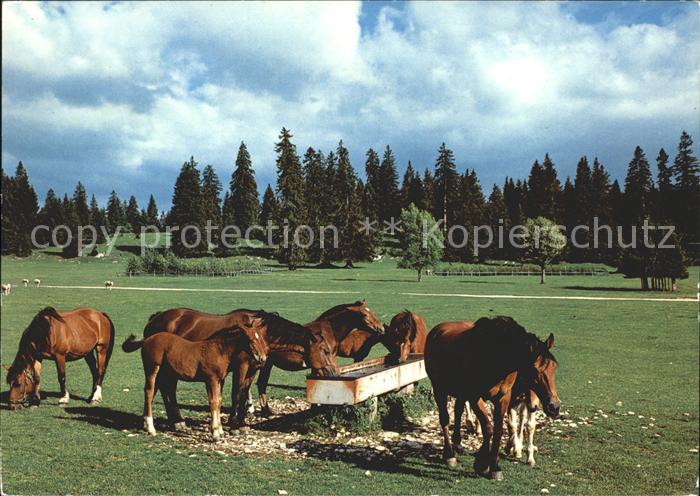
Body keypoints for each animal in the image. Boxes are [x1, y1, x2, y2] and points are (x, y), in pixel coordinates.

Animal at [122, 325, 268, 440]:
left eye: (262, 338)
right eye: (251, 339)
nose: (262, 358)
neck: (219, 350)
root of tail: (147, 339)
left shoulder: (219, 380)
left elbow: (219, 402)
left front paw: (220, 431)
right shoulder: (211, 379)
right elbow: (214, 402)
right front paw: (216, 434)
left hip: (162, 372)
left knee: (153, 392)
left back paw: (146, 424)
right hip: (152, 368)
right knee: (149, 391)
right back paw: (151, 428)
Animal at [141, 307, 340, 427]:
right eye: (325, 350)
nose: (333, 372)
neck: (258, 333)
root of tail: (155, 319)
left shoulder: (253, 368)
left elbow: (244, 392)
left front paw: (241, 422)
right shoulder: (241, 367)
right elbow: (237, 393)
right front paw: (233, 423)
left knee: (167, 389)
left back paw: (177, 421)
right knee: (167, 389)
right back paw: (176, 421)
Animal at [424, 316, 560, 480]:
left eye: (554, 366)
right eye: (534, 369)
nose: (554, 406)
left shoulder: (503, 398)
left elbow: (498, 430)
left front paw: (494, 466)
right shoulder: (475, 397)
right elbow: (487, 427)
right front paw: (482, 464)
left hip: (461, 392)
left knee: (457, 411)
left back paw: (457, 444)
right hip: (439, 388)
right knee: (444, 418)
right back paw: (449, 454)